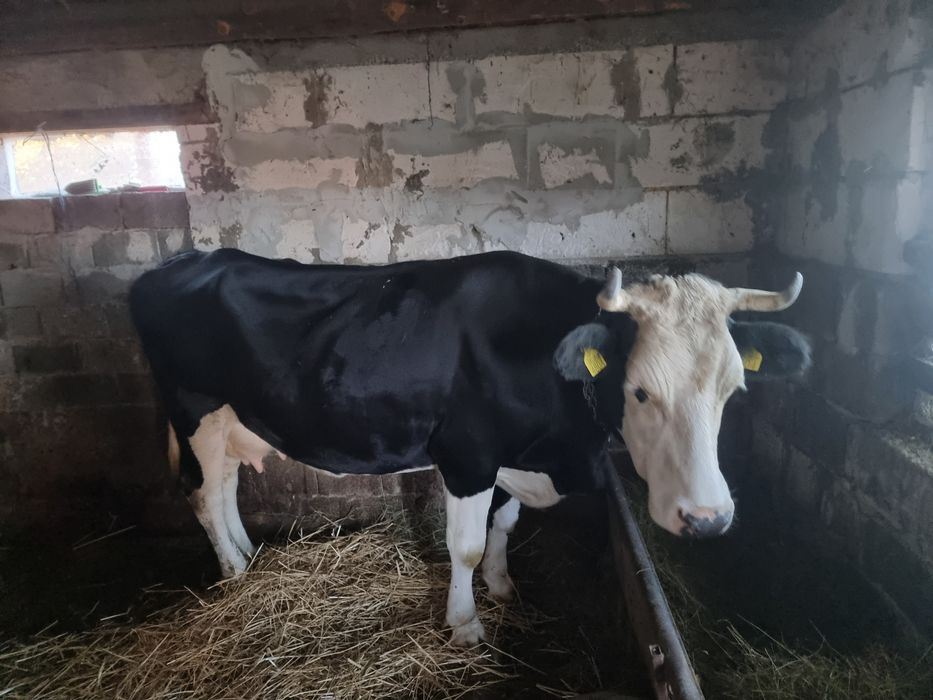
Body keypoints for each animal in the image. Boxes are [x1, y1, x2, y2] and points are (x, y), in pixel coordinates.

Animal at [129, 249, 810, 646]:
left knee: (225, 487)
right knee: (203, 494)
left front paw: (504, 587)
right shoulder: (468, 455)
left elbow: (505, 525)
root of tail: (181, 260)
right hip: (195, 411)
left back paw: (247, 558)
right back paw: (234, 574)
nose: (708, 518)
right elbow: (466, 544)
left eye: (733, 388)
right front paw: (466, 625)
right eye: (640, 391)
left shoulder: (516, 457)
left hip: (229, 420)